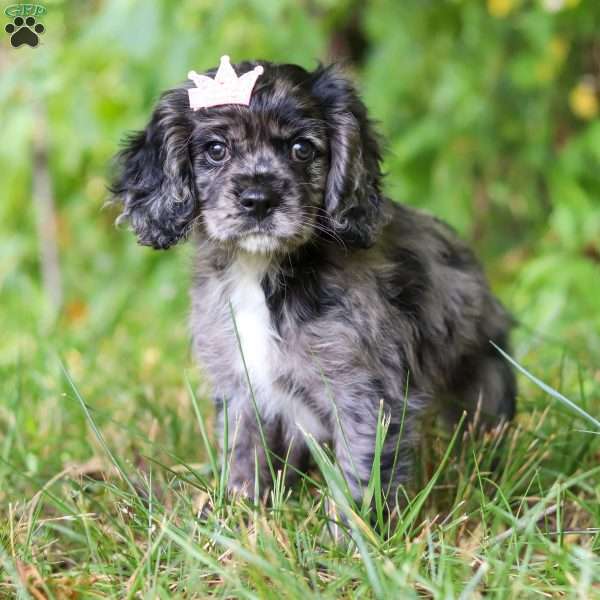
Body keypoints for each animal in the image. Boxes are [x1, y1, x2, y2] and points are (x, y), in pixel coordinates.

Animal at [111, 57, 516, 506]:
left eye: (302, 148)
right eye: (216, 150)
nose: (259, 200)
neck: (260, 269)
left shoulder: (365, 393)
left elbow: (360, 473)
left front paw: (355, 526)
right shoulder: (239, 387)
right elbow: (244, 453)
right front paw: (241, 510)